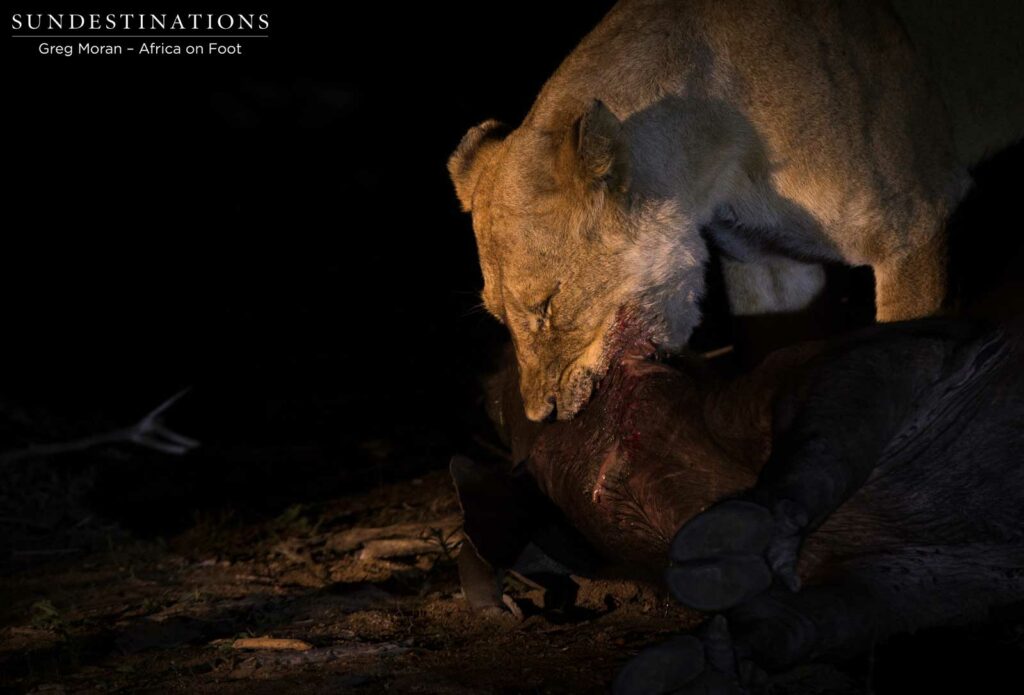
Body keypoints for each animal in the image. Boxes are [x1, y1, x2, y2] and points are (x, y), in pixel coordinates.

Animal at [448, 0, 1023, 422]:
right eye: (499, 316)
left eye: (547, 304)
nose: (539, 416)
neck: (719, 163)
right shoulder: (767, 265)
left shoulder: (913, 227)